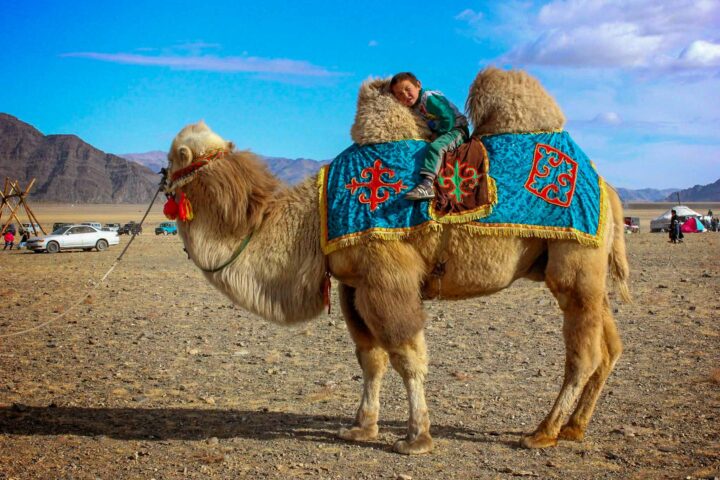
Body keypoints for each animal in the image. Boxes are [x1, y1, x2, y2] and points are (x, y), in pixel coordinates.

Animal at [163, 67, 629, 455]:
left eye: (173, 157)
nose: (164, 181)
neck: (311, 219)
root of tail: (606, 185)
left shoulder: (386, 274)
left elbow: (407, 356)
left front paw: (416, 438)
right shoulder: (353, 285)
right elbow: (371, 358)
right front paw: (361, 428)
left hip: (575, 263)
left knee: (584, 353)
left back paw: (543, 432)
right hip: (587, 273)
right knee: (609, 347)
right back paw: (574, 428)